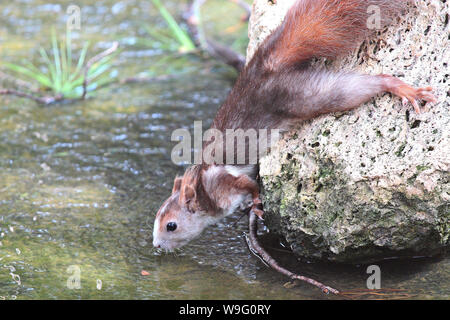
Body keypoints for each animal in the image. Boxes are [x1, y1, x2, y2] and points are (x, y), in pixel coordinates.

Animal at [151, 0, 436, 250]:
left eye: (171, 226)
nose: (156, 245)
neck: (202, 189)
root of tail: (265, 66)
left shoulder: (225, 183)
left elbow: (250, 186)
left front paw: (256, 203)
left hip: (306, 95)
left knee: (361, 86)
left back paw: (399, 87)